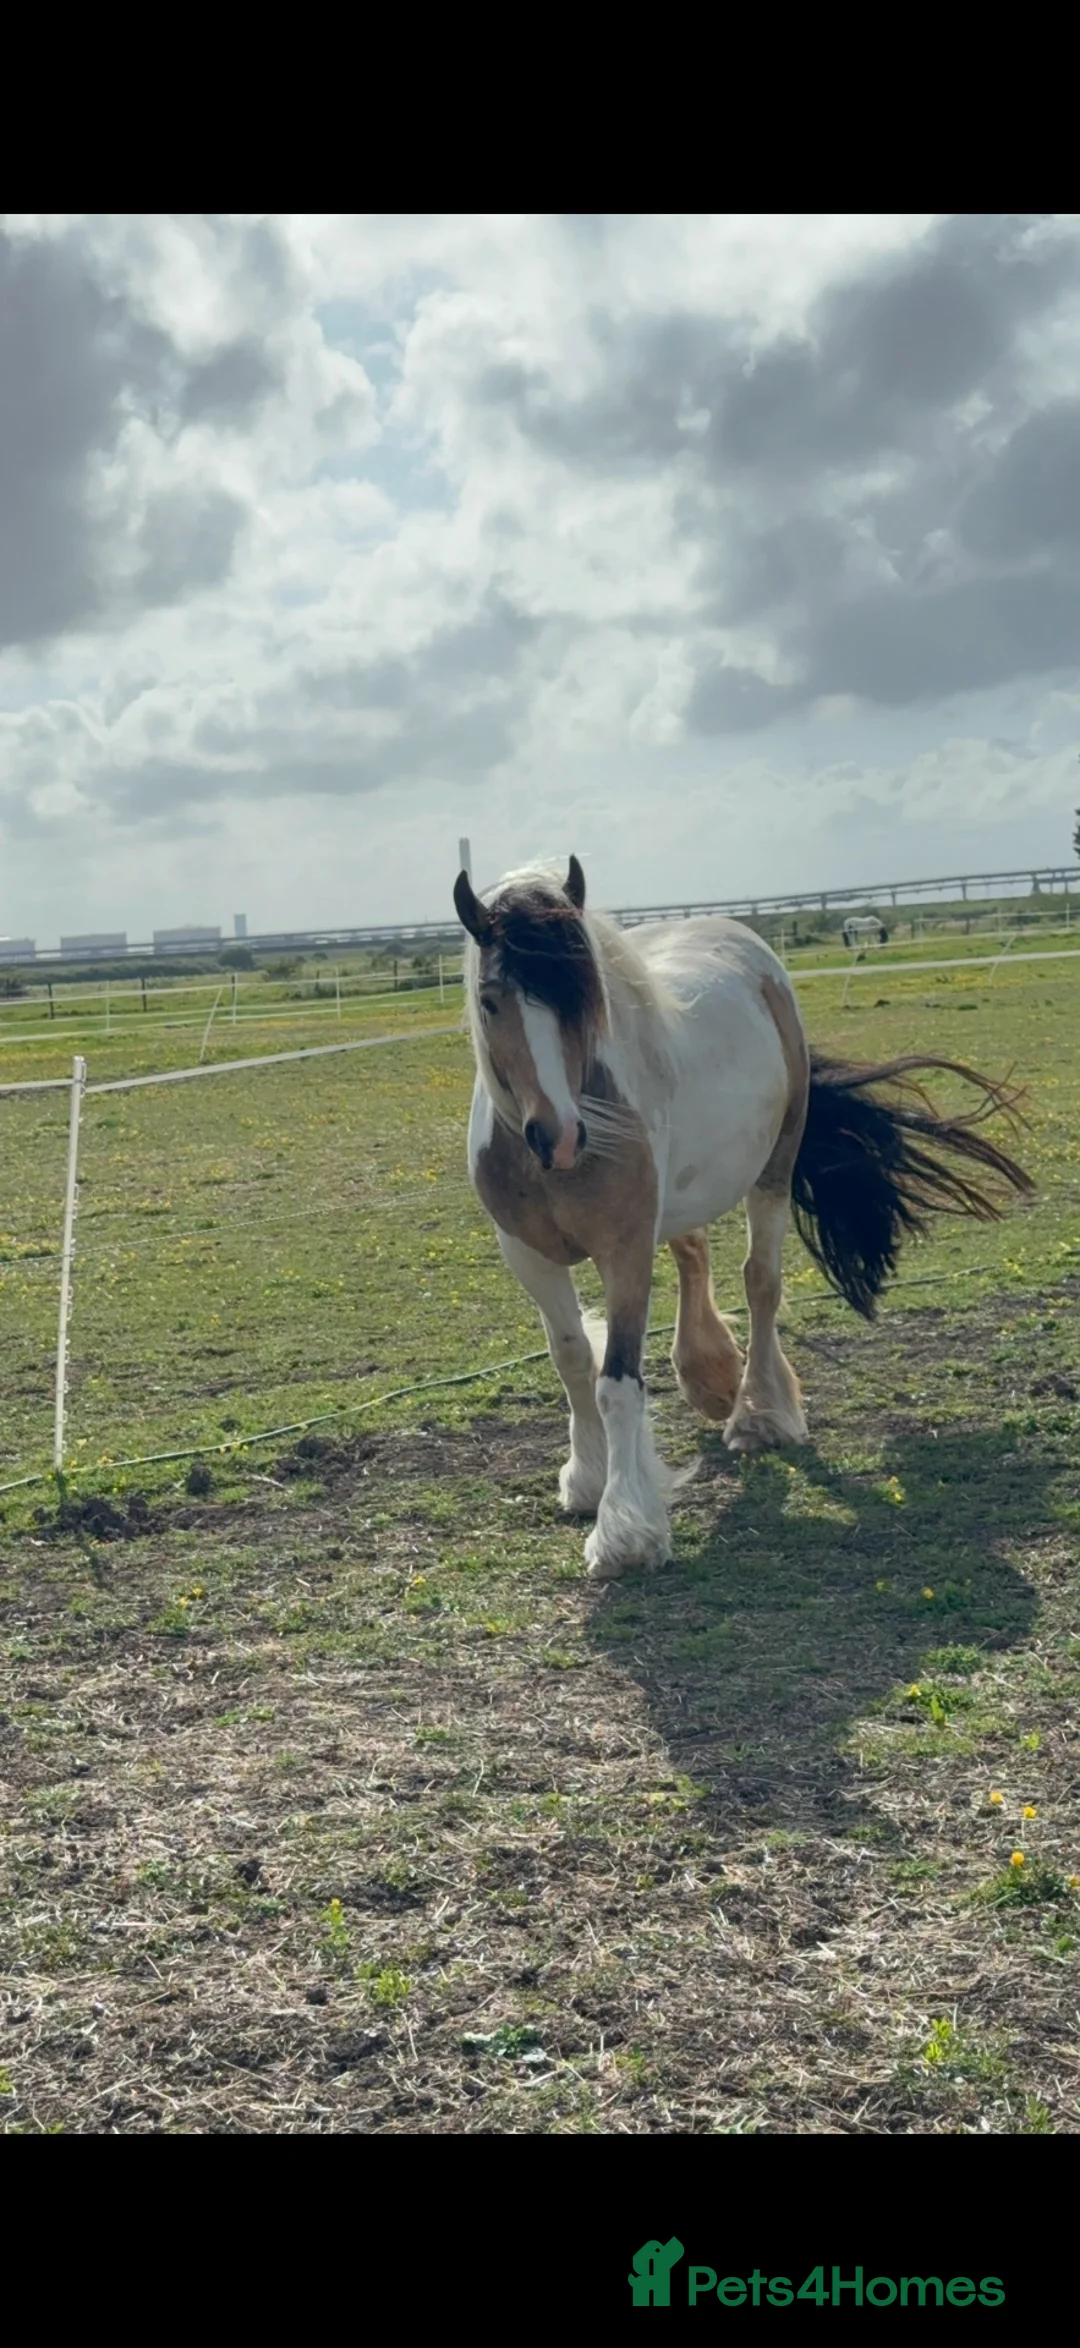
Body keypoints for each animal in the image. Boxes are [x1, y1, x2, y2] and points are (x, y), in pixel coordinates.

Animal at [453, 857, 1032, 1581]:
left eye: (584, 998)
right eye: (490, 1001)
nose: (558, 1136)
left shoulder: (624, 1251)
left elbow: (617, 1382)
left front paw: (626, 1530)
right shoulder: (527, 1255)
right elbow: (572, 1361)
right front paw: (587, 1478)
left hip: (773, 1174)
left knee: (761, 1283)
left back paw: (759, 1411)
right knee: (694, 1256)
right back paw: (711, 1374)